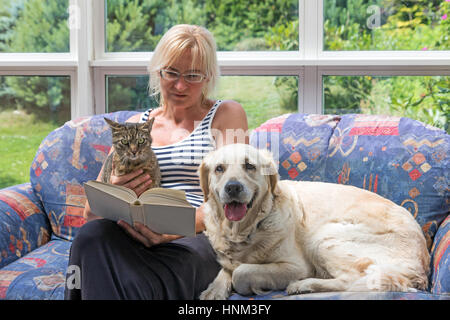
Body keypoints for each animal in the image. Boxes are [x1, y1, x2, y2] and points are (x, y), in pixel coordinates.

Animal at [199, 144, 430, 298]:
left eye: (249, 166)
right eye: (219, 168)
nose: (233, 187)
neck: (246, 229)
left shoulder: (296, 266)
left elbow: (240, 271)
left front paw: (252, 287)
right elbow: (227, 267)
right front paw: (214, 290)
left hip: (324, 237)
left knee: (353, 280)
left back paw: (304, 285)